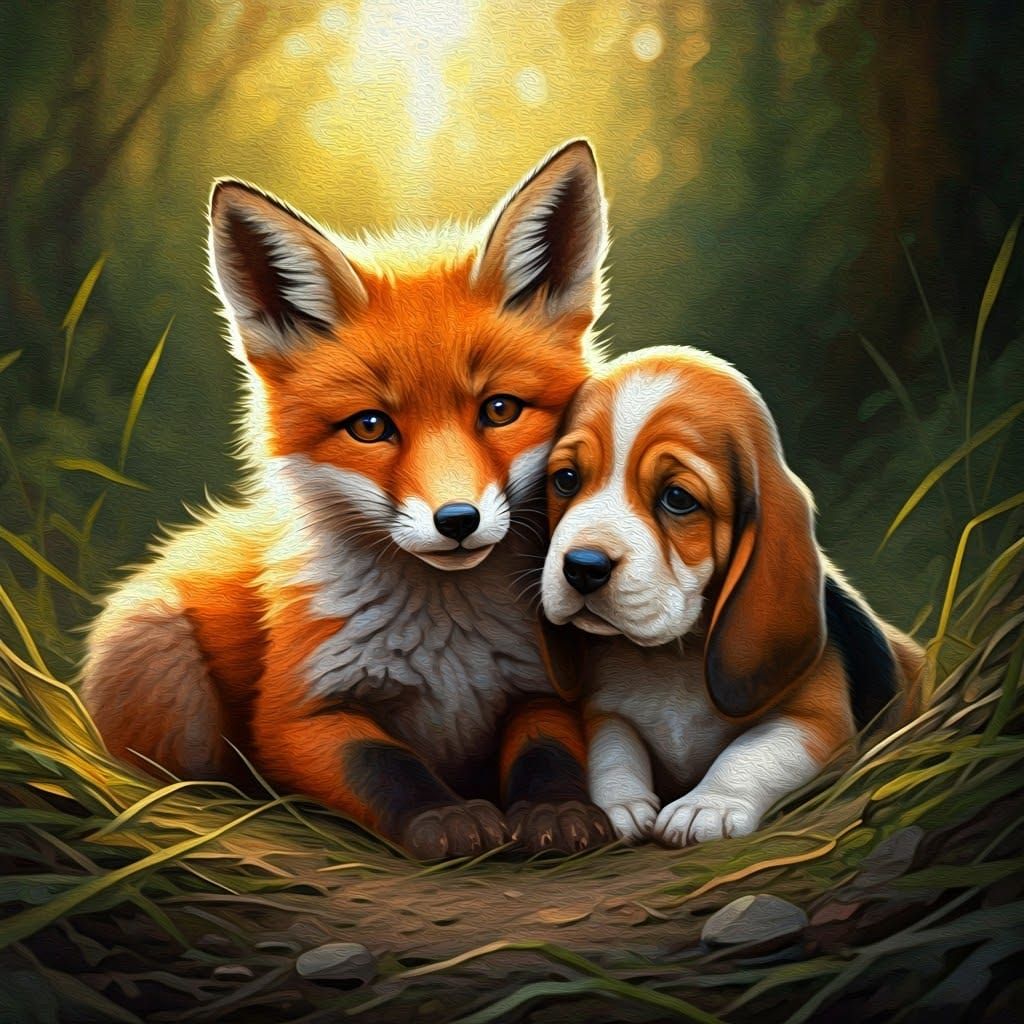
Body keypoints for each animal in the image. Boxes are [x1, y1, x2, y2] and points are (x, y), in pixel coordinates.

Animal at [81, 140, 614, 859]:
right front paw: (445, 820)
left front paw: (557, 811)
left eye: (500, 410)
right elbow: (384, 766)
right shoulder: (297, 711)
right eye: (369, 426)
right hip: (158, 652)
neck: (449, 647)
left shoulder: (547, 686)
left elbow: (547, 752)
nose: (458, 520)